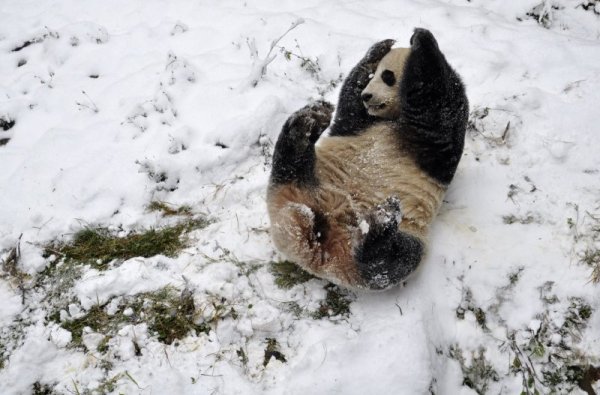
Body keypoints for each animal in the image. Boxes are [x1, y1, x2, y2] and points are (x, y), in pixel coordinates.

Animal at [268, 29, 468, 290]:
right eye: (375, 75)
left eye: (387, 76)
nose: (368, 95)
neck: (392, 119)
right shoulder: (358, 125)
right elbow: (350, 98)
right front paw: (380, 49)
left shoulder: (435, 144)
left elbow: (441, 106)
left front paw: (421, 40)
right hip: (309, 181)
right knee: (289, 164)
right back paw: (306, 123)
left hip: (410, 233)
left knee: (391, 261)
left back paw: (379, 225)